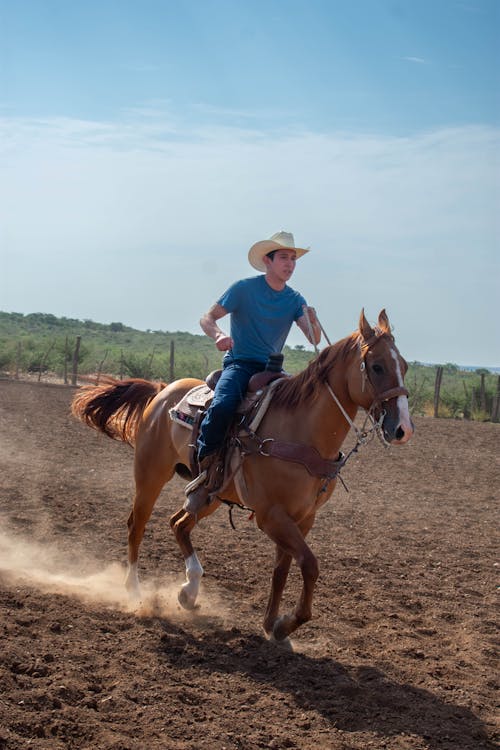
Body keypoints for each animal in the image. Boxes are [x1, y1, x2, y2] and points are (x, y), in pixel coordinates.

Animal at [71, 308, 414, 644]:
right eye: (377, 366)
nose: (403, 429)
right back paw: (134, 591)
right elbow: (310, 565)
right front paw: (286, 624)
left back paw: (189, 592)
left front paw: (272, 626)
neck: (302, 432)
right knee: (137, 526)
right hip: (150, 474)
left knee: (178, 523)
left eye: (405, 366)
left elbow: (282, 570)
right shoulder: (271, 516)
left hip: (211, 493)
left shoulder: (303, 518)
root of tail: (162, 391)